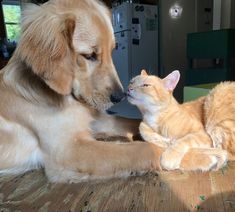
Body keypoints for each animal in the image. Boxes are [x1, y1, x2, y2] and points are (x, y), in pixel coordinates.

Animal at [0, 0, 221, 182]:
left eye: (112, 50)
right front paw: (204, 155)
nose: (120, 96)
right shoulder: (69, 150)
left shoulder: (96, 120)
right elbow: (143, 149)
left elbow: (131, 122)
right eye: (89, 55)